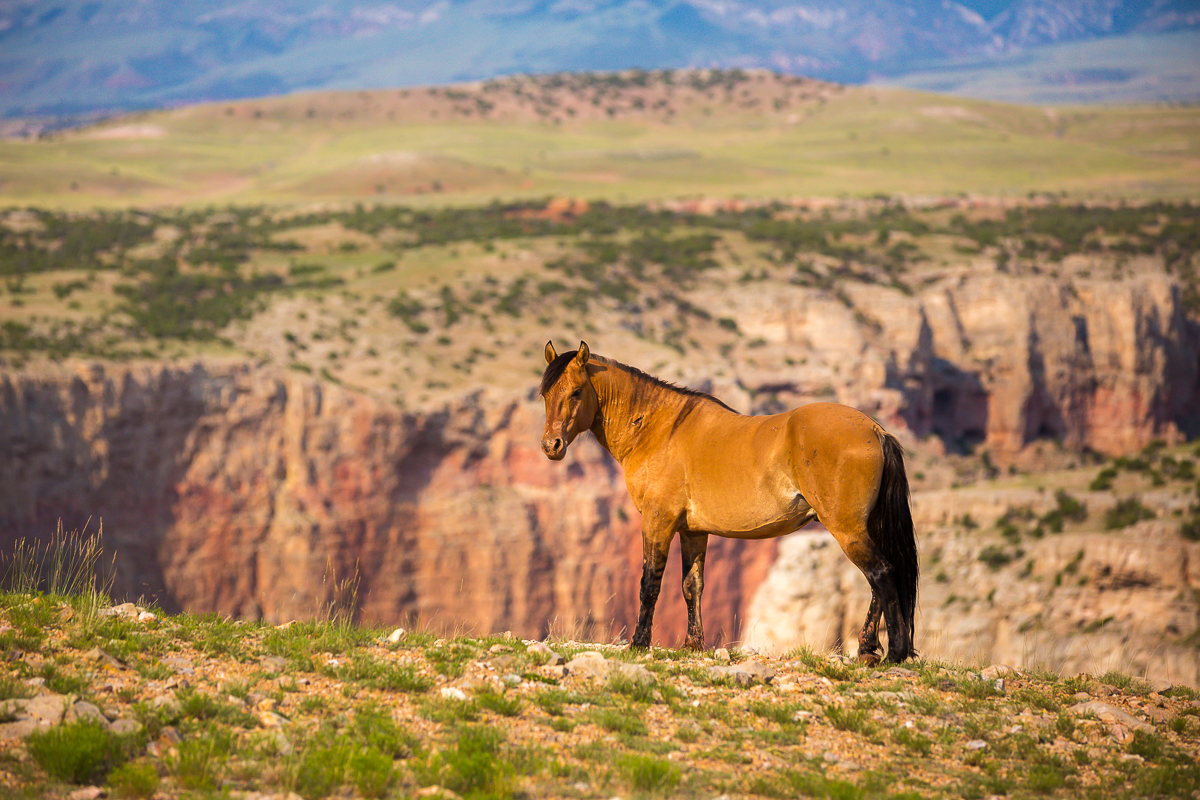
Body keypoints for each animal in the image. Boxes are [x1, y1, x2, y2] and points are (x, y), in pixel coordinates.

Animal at [535, 340, 916, 666]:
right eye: (545, 394)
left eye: (576, 392)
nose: (551, 446)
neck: (659, 429)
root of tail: (876, 431)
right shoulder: (692, 531)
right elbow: (692, 587)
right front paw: (693, 644)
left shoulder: (657, 521)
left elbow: (649, 582)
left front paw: (639, 643)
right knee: (879, 582)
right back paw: (869, 650)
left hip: (847, 529)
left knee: (882, 574)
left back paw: (895, 652)